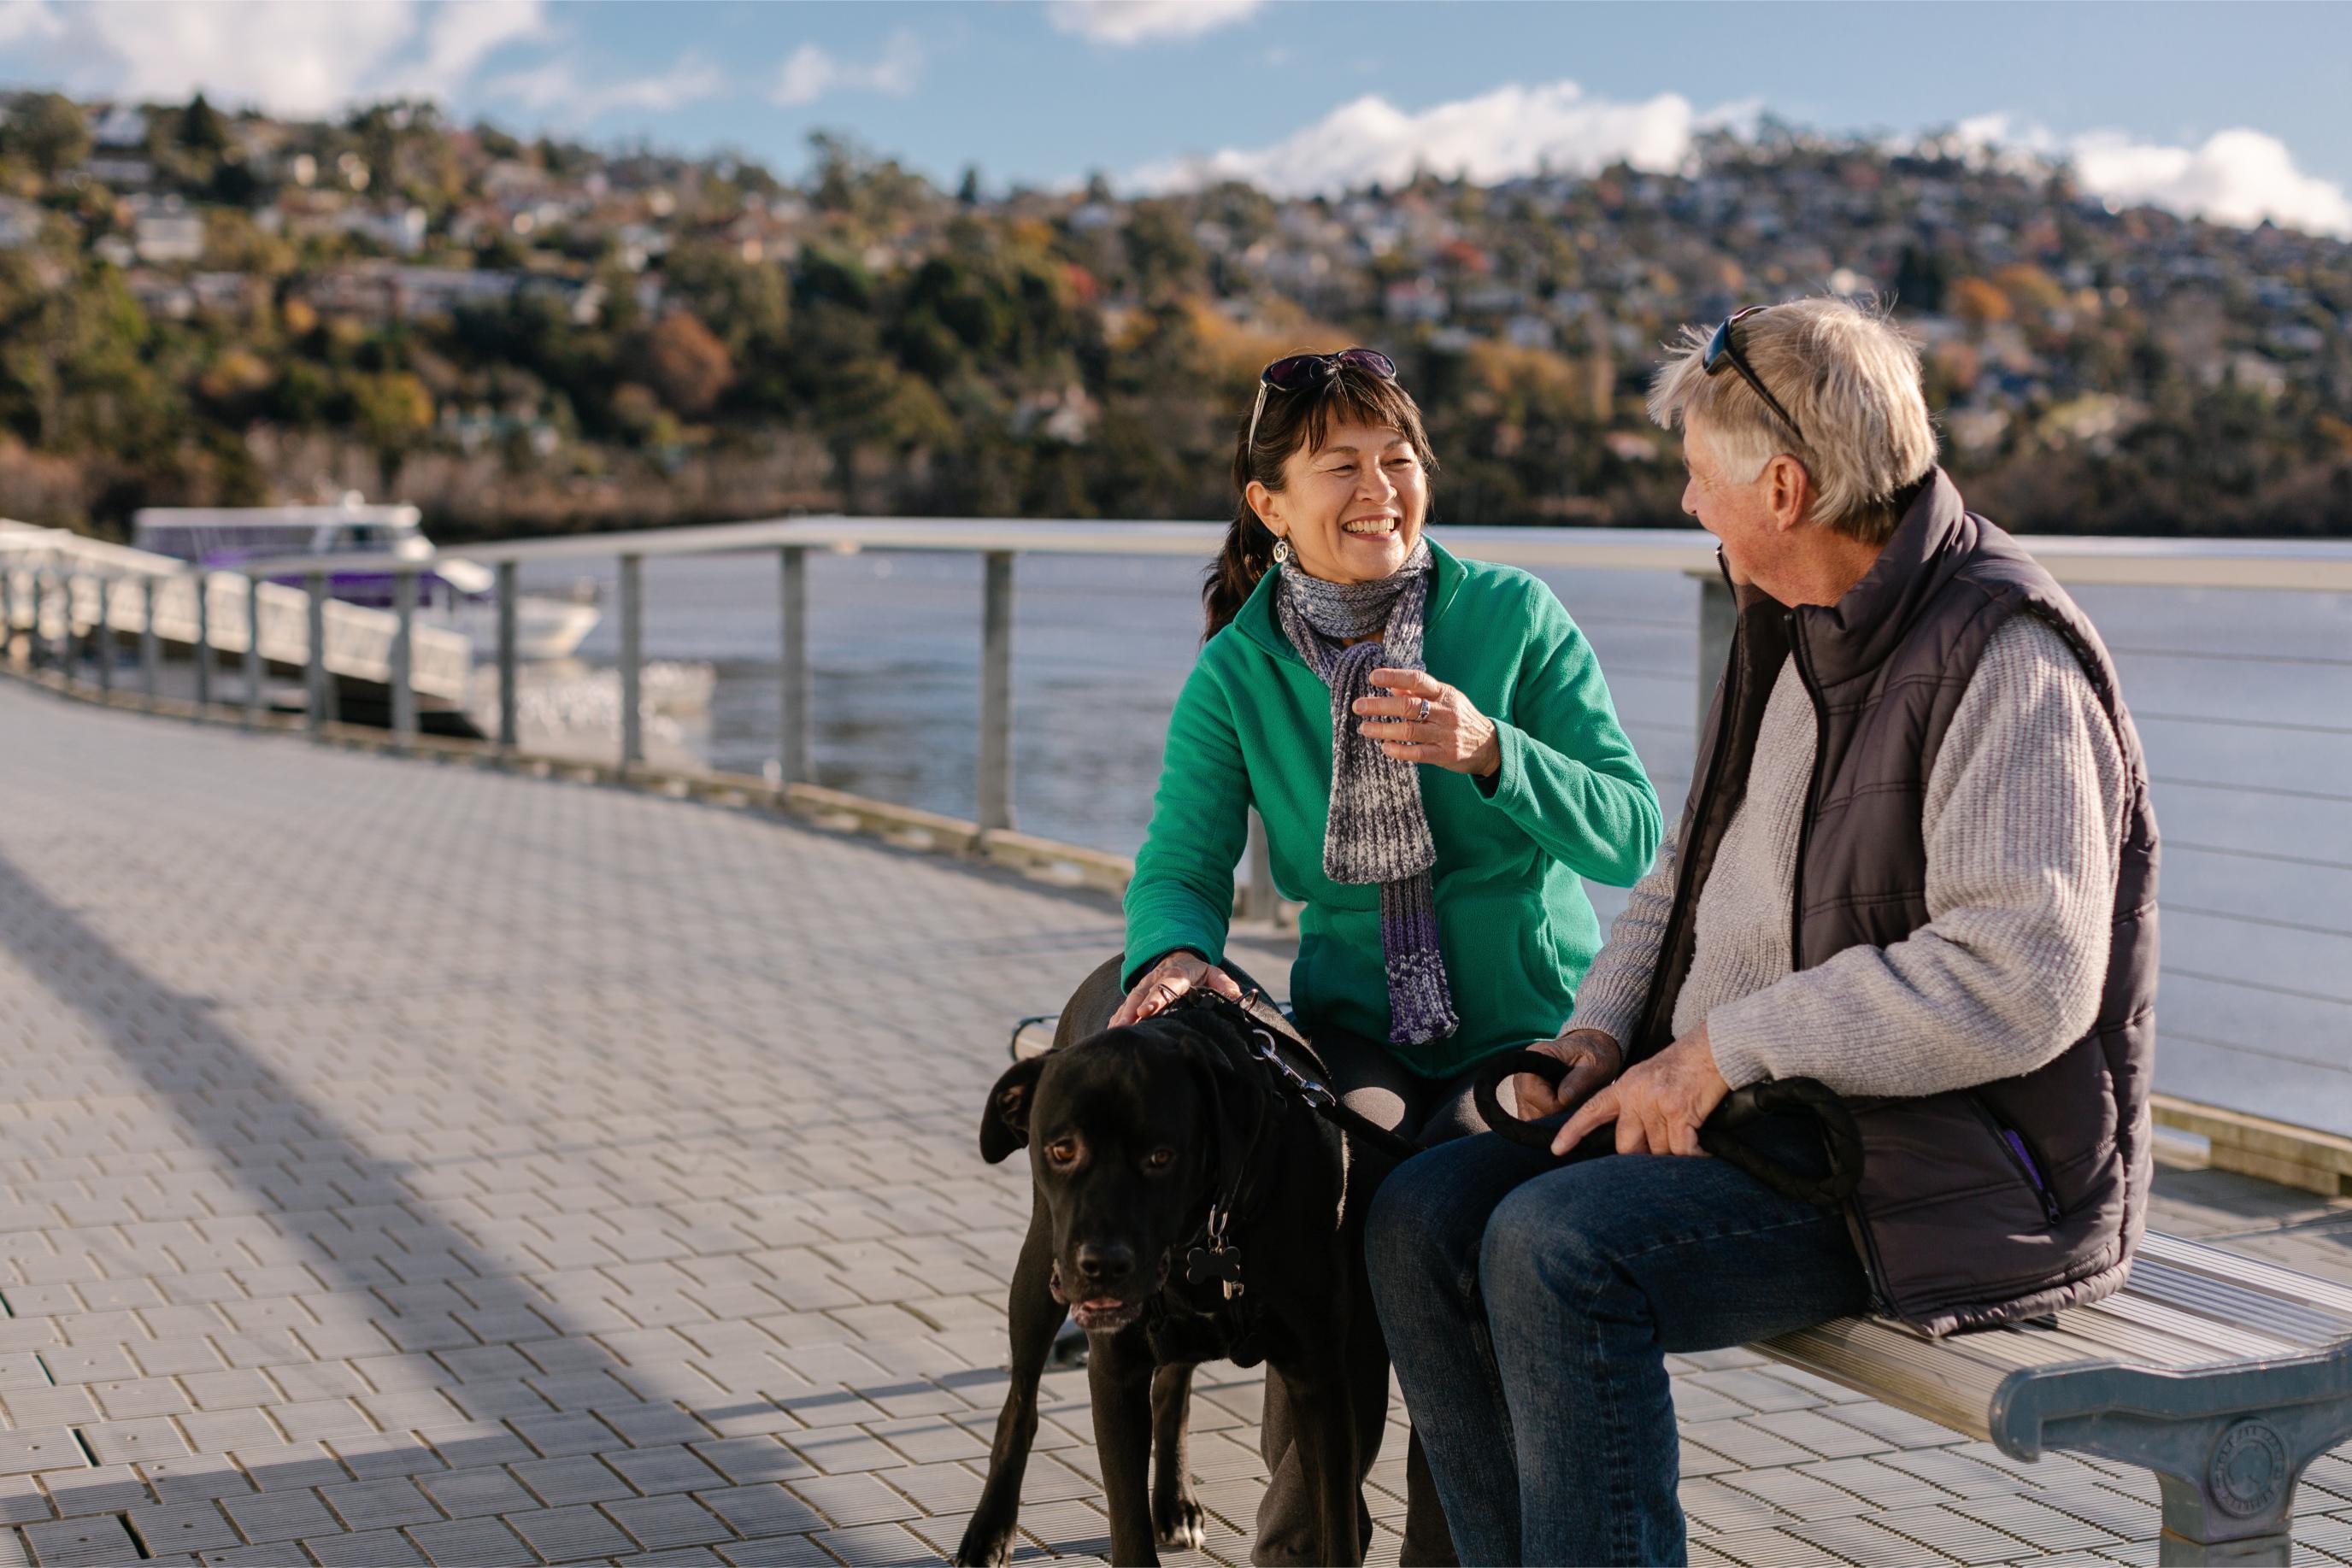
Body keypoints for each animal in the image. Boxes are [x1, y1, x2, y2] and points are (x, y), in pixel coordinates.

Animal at [950, 968, 1373, 1568]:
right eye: (1062, 1149)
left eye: (1161, 1157)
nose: (1102, 1265)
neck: (1213, 1227)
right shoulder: (1114, 1372)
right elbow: (1128, 1527)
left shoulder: (1320, 1375)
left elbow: (1337, 1526)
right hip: (1038, 1271)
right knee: (1021, 1406)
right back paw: (989, 1530)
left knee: (1171, 1389)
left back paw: (1174, 1502)